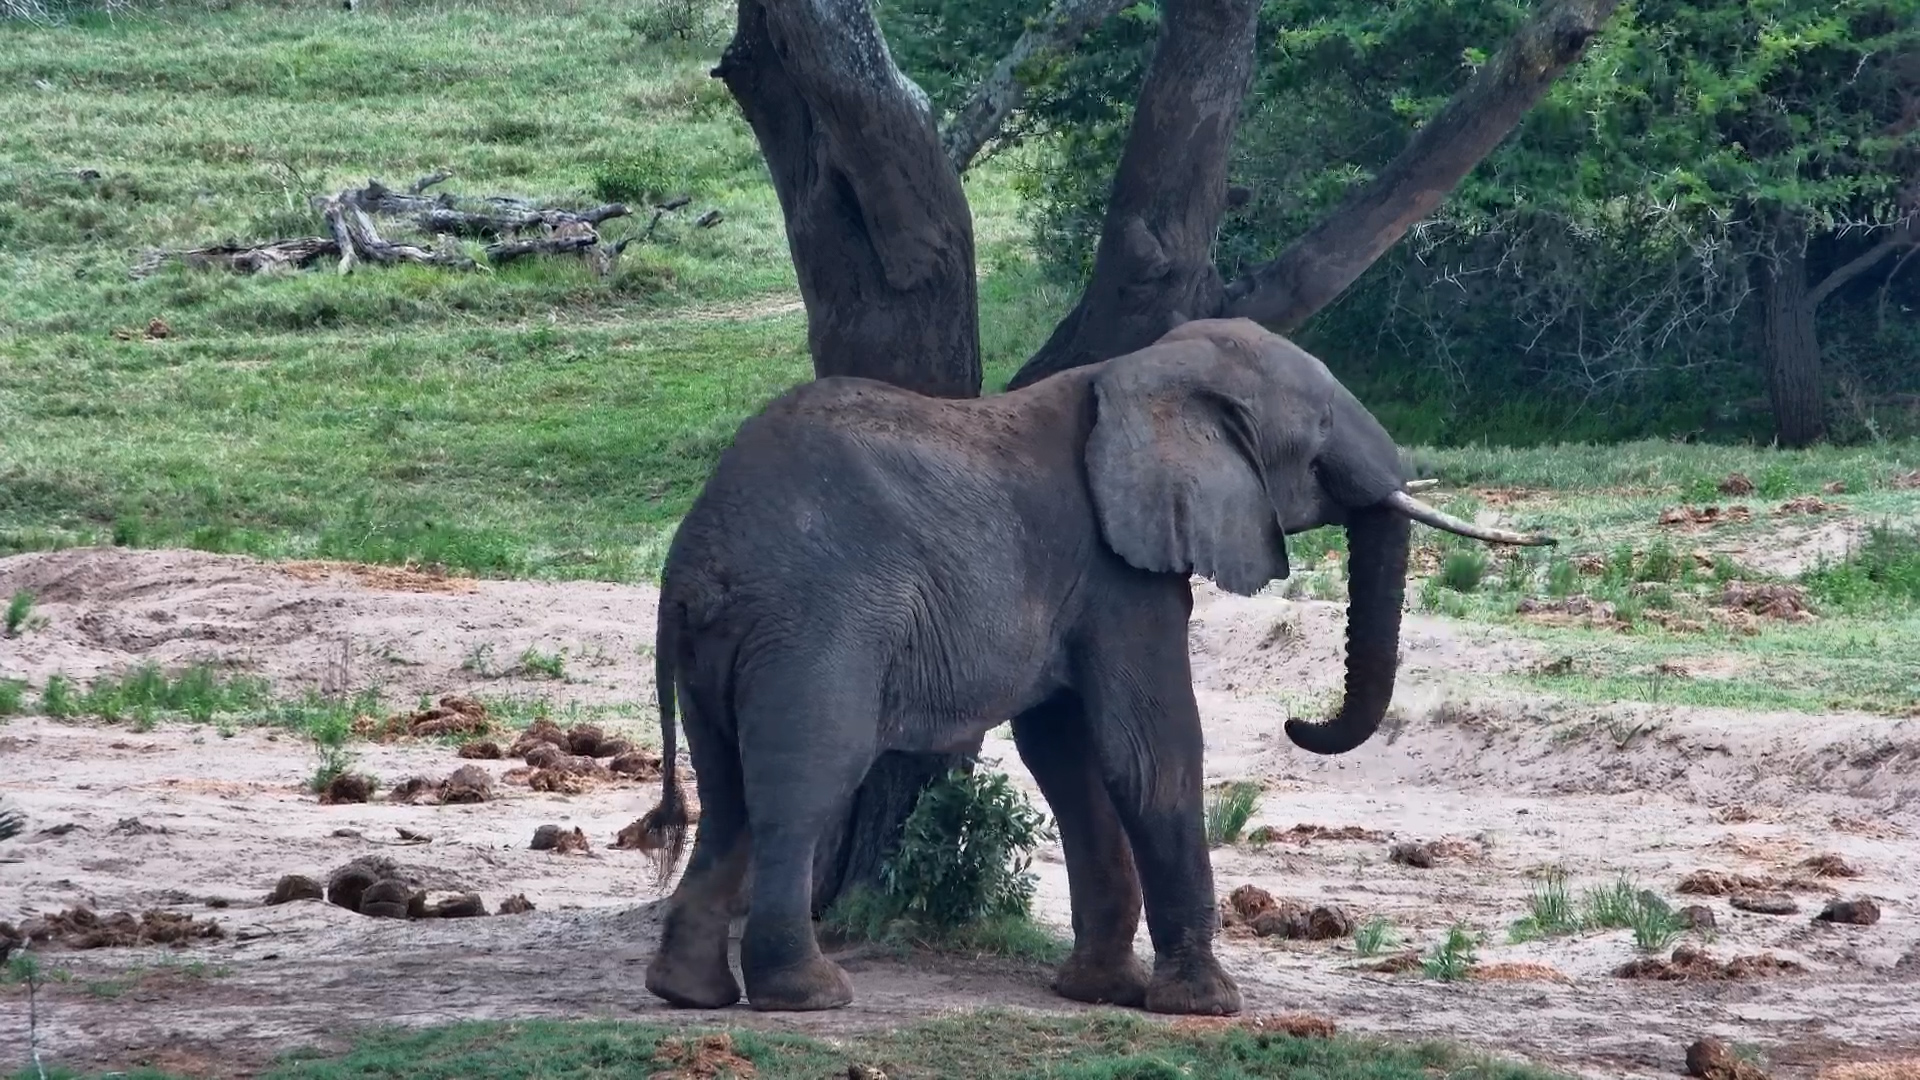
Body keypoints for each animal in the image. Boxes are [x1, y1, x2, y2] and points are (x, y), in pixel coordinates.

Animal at [634, 317, 1553, 1016]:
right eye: (1323, 429)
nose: (1298, 720)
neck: (1142, 372)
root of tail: (692, 562)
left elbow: (1068, 753)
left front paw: (1099, 991)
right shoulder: (1121, 573)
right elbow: (1150, 749)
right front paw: (1206, 1007)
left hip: (732, 646)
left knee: (729, 793)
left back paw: (687, 993)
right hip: (815, 627)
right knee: (806, 780)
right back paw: (810, 995)